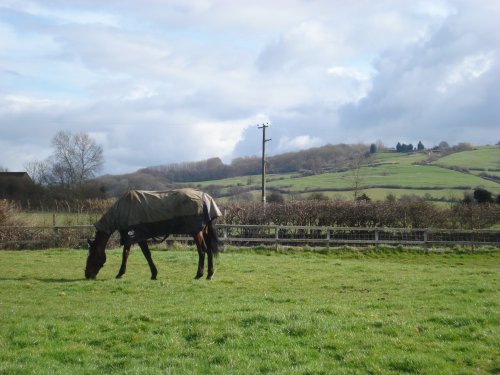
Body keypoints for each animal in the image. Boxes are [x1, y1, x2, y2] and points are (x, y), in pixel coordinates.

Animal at [85, 189, 222, 280]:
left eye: (91, 256)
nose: (87, 275)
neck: (122, 210)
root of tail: (205, 198)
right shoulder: (130, 237)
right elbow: (128, 254)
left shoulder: (136, 236)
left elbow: (144, 255)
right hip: (203, 231)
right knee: (209, 250)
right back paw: (209, 274)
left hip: (196, 232)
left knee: (202, 251)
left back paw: (199, 274)